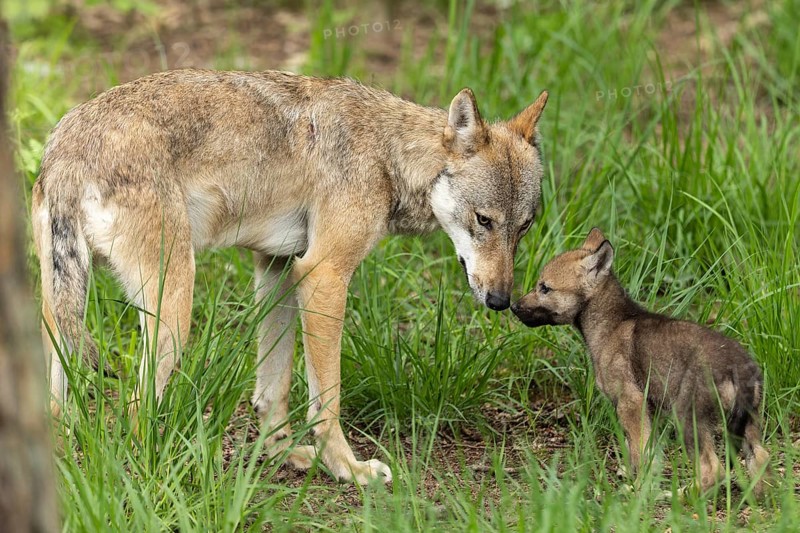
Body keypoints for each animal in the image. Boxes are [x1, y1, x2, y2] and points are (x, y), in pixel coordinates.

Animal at [31, 69, 548, 484]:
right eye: (484, 220)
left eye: (524, 226)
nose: (501, 301)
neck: (386, 152)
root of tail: (65, 151)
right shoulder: (324, 275)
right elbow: (326, 400)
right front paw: (348, 469)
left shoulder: (277, 268)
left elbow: (272, 387)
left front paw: (282, 454)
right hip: (175, 311)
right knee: (134, 413)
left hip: (63, 313)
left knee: (60, 405)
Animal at [511, 228, 769, 495]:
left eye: (545, 288)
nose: (513, 306)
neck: (611, 324)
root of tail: (740, 366)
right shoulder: (648, 408)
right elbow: (645, 451)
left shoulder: (630, 402)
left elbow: (639, 452)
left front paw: (636, 489)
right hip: (748, 421)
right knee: (761, 456)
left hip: (687, 416)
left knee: (713, 467)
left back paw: (683, 495)